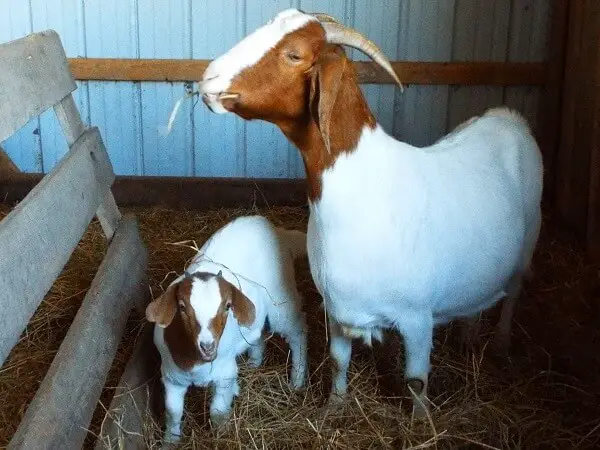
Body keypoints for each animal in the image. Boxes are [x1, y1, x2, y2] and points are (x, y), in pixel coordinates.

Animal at [144, 216, 304, 442]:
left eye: (227, 306)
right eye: (182, 307)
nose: (207, 346)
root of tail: (274, 228)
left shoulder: (224, 374)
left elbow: (217, 412)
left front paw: (221, 436)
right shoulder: (171, 377)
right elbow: (173, 413)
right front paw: (169, 442)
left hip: (281, 300)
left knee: (297, 332)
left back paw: (297, 380)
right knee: (257, 334)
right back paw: (254, 363)